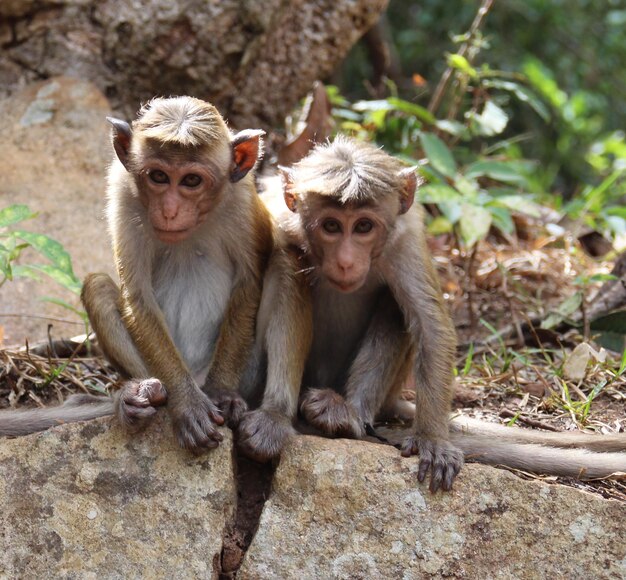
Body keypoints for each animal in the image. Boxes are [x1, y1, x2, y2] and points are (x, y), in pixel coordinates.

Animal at [0, 95, 272, 450]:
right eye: (158, 176)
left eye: (191, 181)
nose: (169, 211)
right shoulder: (122, 194)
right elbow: (137, 294)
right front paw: (186, 402)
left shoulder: (241, 201)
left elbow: (248, 285)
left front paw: (223, 393)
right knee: (99, 287)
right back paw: (139, 395)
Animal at [235, 136, 624, 490]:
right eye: (331, 226)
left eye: (363, 227)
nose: (346, 261)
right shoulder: (281, 223)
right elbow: (285, 269)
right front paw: (273, 415)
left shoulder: (404, 240)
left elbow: (430, 324)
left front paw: (433, 440)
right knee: (289, 270)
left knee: (393, 304)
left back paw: (347, 415)